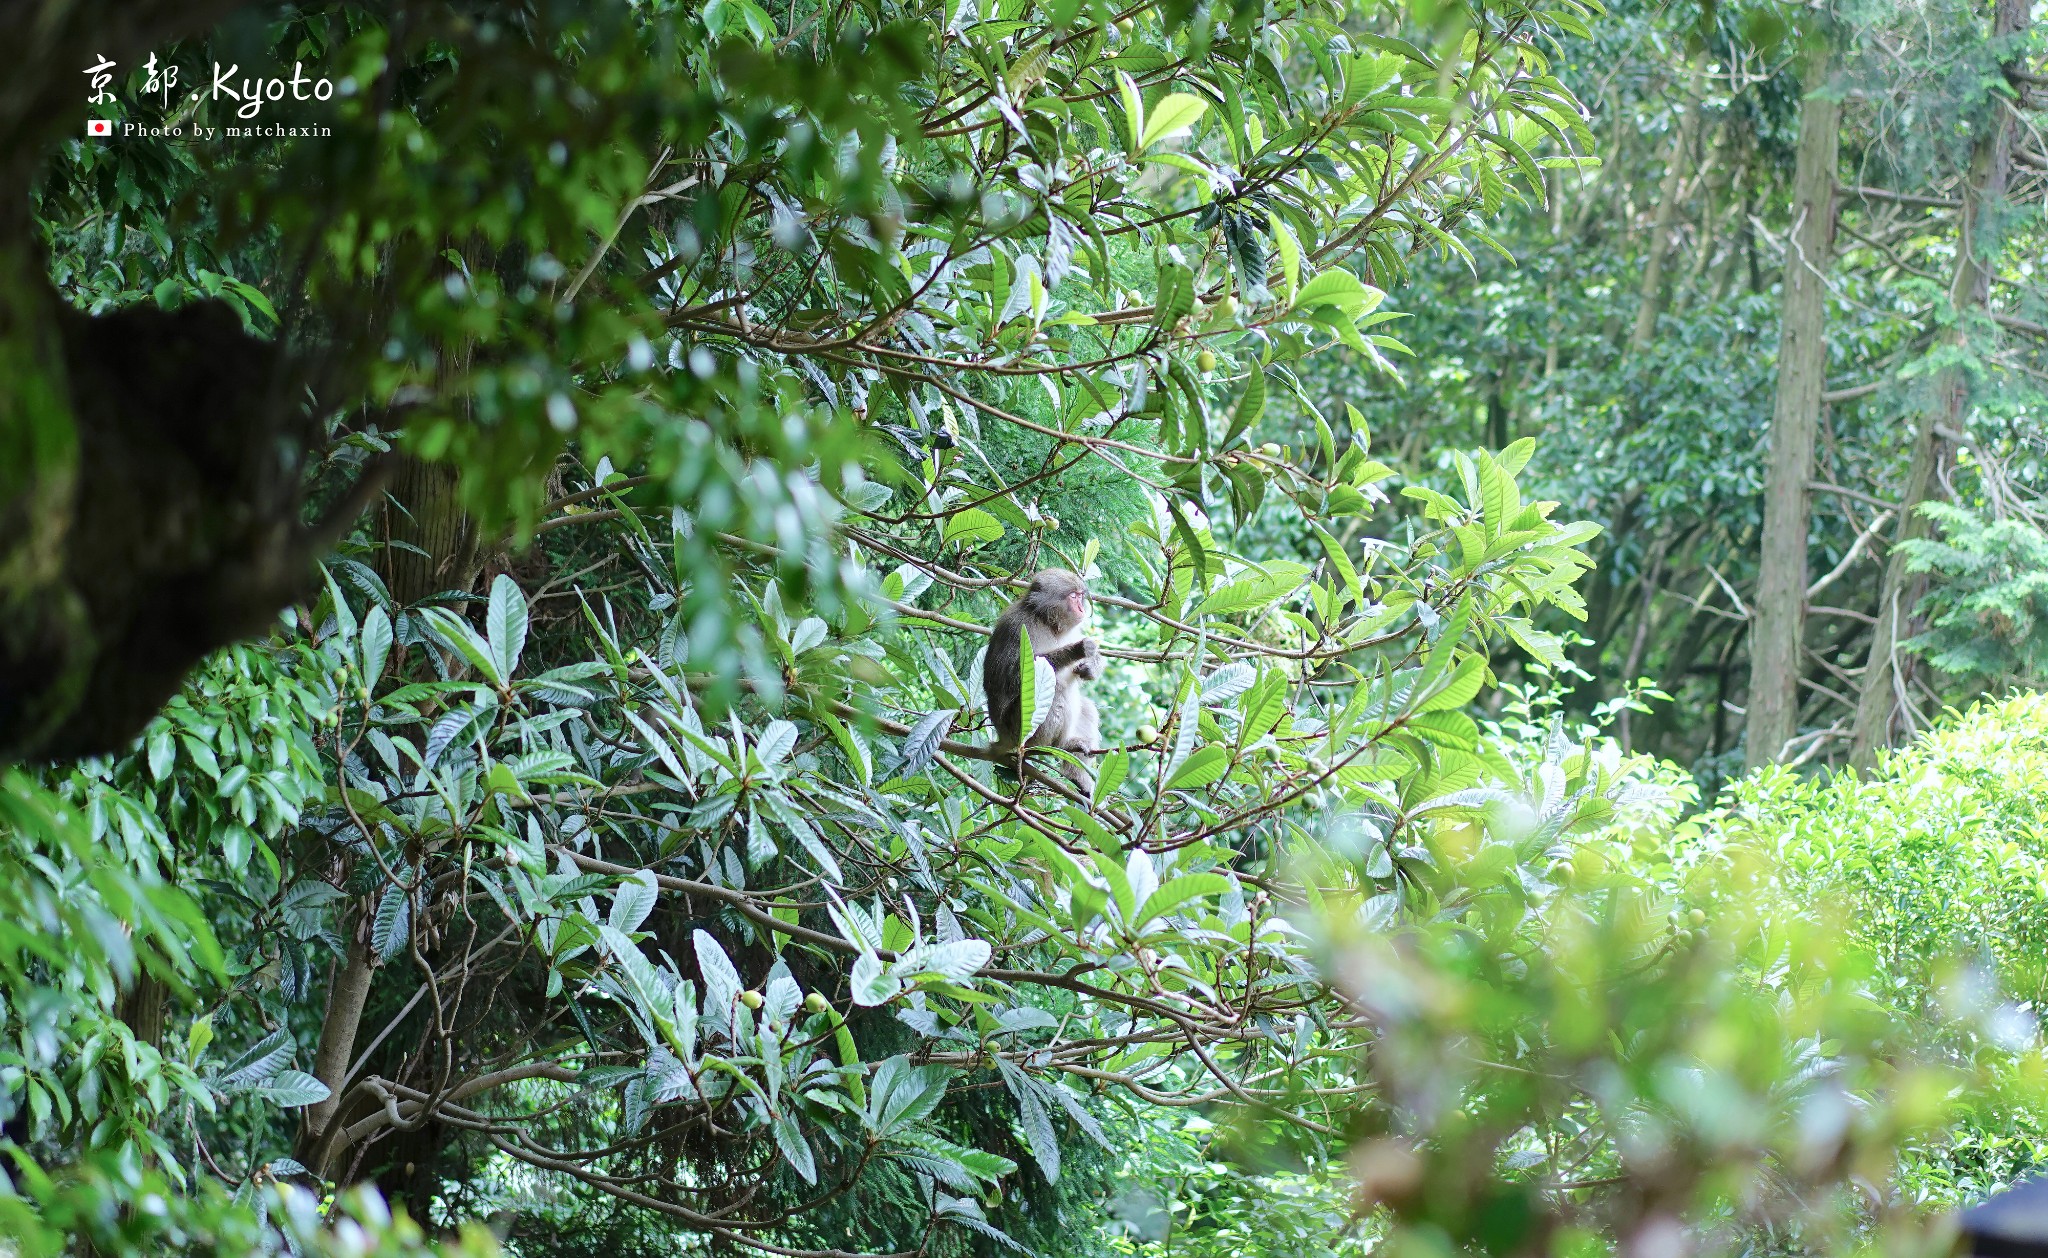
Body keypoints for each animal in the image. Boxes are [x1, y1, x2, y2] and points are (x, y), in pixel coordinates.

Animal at [987, 565, 1105, 782]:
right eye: (1073, 596)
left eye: (1080, 596)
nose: (1082, 609)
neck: (1046, 620)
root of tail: (1003, 738)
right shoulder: (1019, 628)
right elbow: (1011, 676)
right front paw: (1078, 649)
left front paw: (1091, 666)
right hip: (1019, 729)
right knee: (1056, 690)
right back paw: (1055, 746)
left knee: (1085, 707)